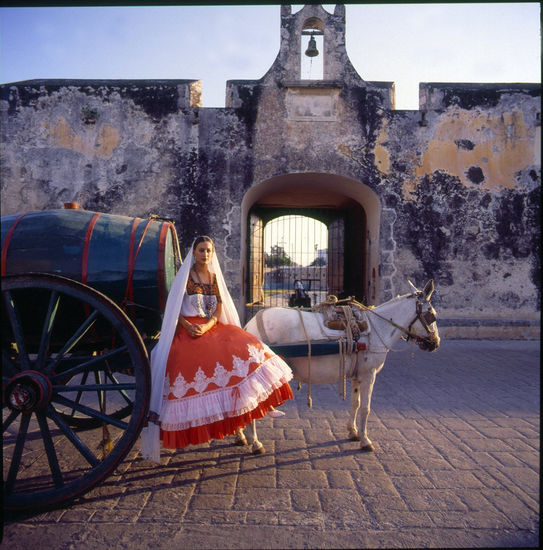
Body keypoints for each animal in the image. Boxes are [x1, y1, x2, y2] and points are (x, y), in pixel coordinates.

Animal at [240, 282, 440, 454]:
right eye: (432, 315)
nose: (435, 343)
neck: (378, 328)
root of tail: (250, 326)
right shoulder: (369, 375)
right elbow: (366, 407)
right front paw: (365, 440)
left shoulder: (357, 375)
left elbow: (355, 403)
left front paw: (353, 432)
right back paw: (255, 443)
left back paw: (243, 437)